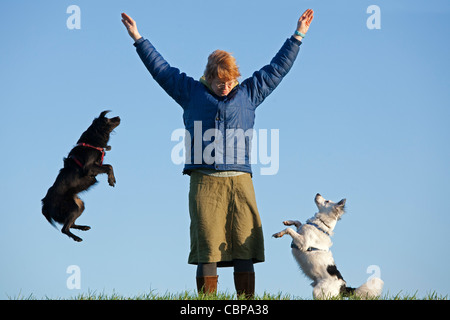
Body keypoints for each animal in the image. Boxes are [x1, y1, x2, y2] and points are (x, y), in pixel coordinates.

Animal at [41, 111, 119, 241]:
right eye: (108, 119)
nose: (118, 117)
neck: (91, 143)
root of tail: (44, 204)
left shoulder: (96, 167)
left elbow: (109, 165)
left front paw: (112, 179)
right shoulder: (89, 168)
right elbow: (109, 167)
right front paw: (111, 180)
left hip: (80, 205)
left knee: (70, 224)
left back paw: (83, 228)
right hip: (73, 208)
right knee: (64, 228)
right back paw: (77, 238)